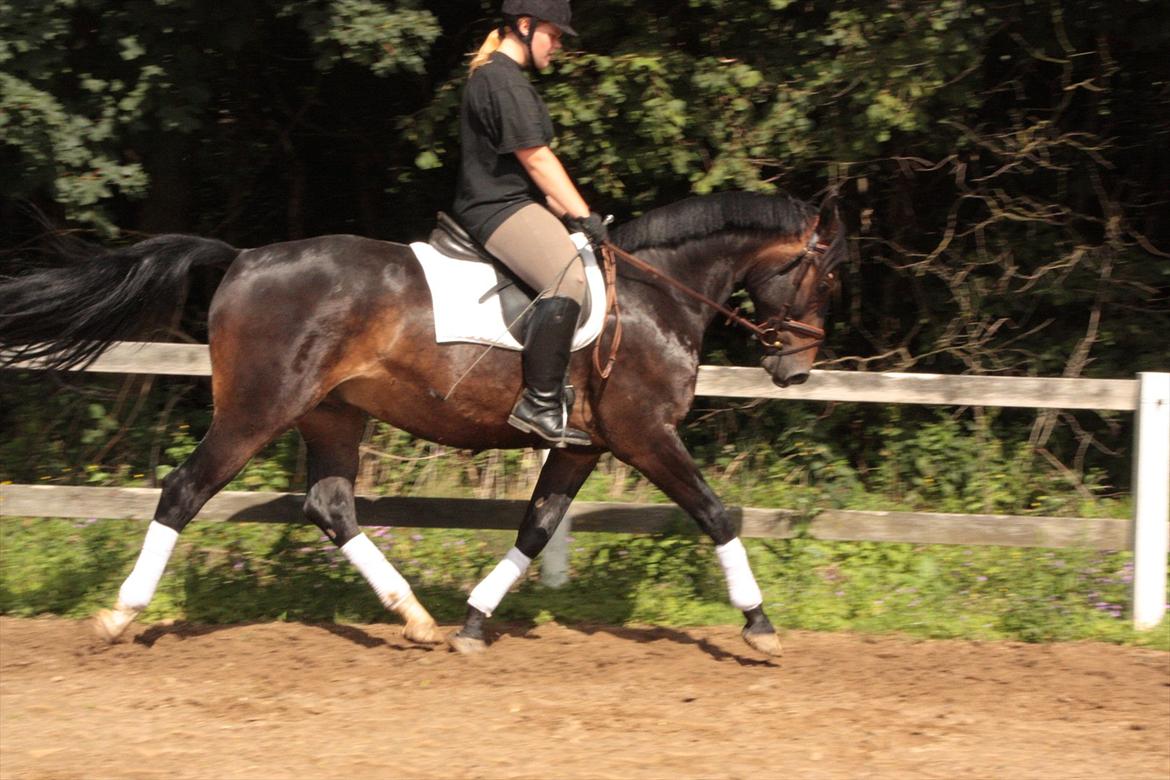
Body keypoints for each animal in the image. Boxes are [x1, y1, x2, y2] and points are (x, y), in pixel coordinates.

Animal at [0, 191, 842, 654]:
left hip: (331, 414)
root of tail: (241, 258)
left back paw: (417, 619)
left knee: (331, 506)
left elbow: (537, 526)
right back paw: (120, 616)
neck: (656, 294)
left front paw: (472, 620)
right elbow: (717, 512)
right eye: (823, 271)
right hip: (257, 408)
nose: (796, 368)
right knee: (184, 490)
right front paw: (759, 625)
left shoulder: (585, 447)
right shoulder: (644, 435)